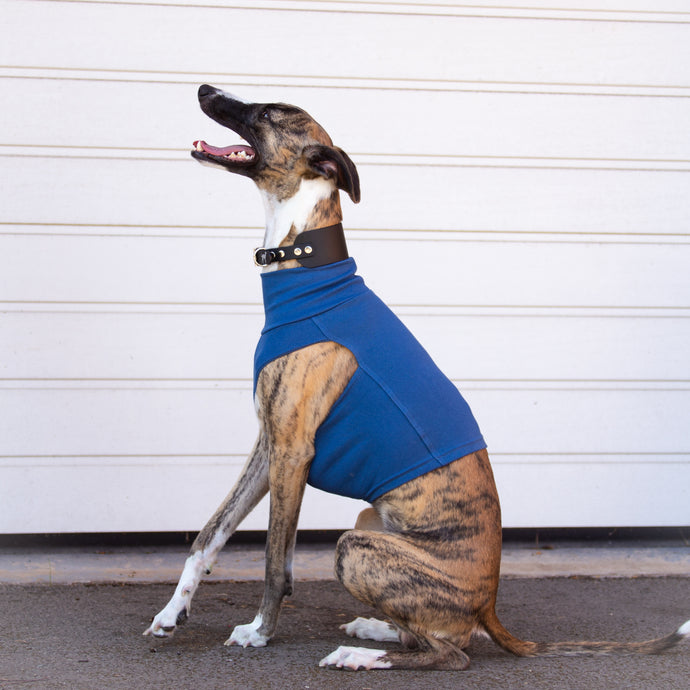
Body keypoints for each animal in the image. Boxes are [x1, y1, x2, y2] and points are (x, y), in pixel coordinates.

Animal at [142, 83, 684, 668]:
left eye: (268, 112)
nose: (204, 89)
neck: (306, 268)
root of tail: (489, 601)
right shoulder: (268, 444)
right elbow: (210, 534)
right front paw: (171, 613)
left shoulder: (292, 452)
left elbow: (273, 560)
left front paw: (259, 632)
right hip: (368, 526)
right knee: (433, 633)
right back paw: (374, 629)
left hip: (355, 545)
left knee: (451, 653)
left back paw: (358, 655)